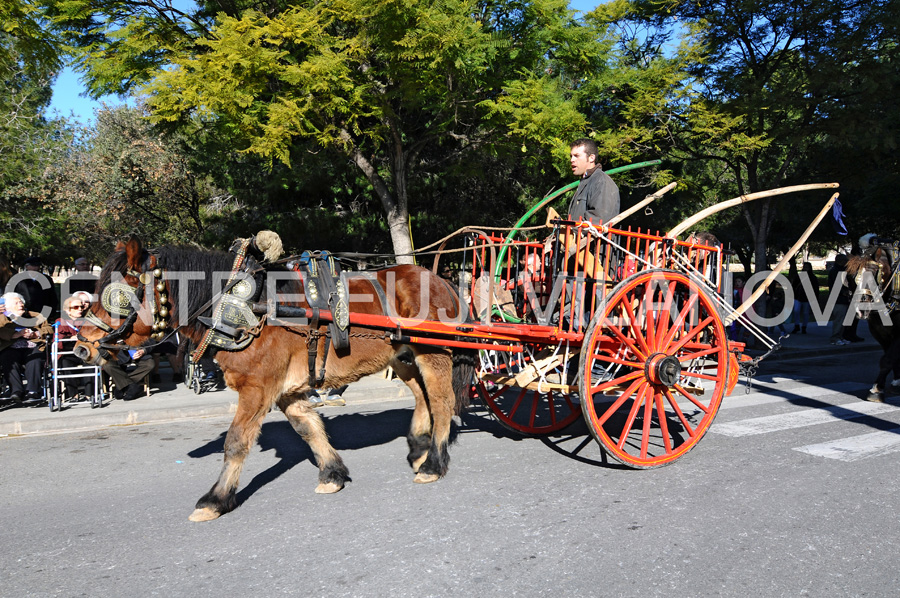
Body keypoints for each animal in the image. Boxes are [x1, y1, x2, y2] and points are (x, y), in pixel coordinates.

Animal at [75, 240, 478, 524]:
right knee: (422, 396)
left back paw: (433, 463)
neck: (245, 307)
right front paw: (332, 474)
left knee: (441, 401)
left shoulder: (257, 389)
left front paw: (215, 499)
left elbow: (236, 443)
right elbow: (309, 430)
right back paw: (418, 447)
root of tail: (441, 279)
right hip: (402, 357)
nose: (81, 346)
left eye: (115, 292)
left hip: (432, 354)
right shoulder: (287, 391)